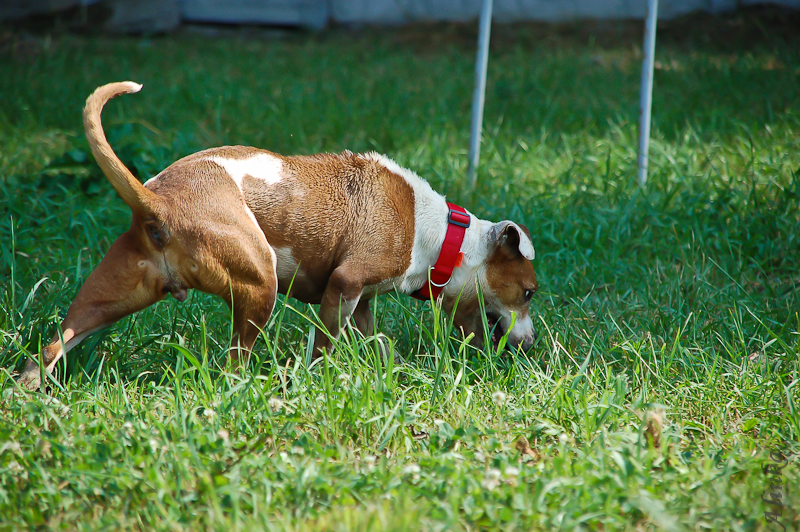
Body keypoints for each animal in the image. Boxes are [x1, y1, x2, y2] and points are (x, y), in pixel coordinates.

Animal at [17, 81, 536, 388]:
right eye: (529, 293)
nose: (530, 345)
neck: (442, 234)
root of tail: (157, 202)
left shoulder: (361, 301)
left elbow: (373, 341)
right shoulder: (344, 284)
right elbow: (325, 345)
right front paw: (320, 379)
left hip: (107, 299)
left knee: (53, 346)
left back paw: (28, 391)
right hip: (258, 282)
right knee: (233, 363)